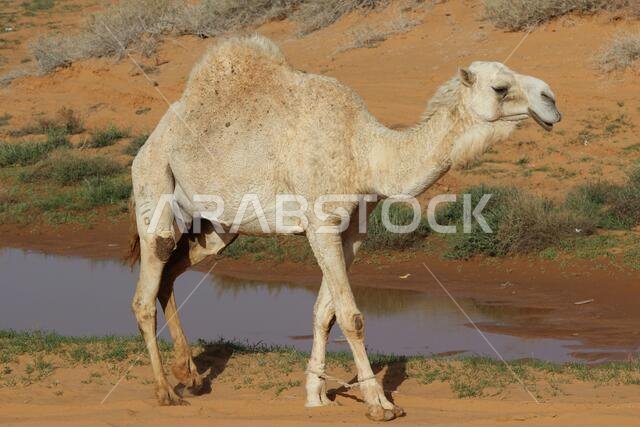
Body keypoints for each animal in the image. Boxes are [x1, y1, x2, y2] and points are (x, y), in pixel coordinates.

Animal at [126, 35, 561, 421]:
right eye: (501, 88)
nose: (551, 100)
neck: (364, 152)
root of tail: (149, 142)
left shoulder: (353, 229)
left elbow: (325, 313)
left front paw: (315, 395)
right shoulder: (320, 223)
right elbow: (352, 316)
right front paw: (379, 404)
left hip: (219, 227)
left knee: (172, 272)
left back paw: (191, 376)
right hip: (154, 183)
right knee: (147, 285)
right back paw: (166, 392)